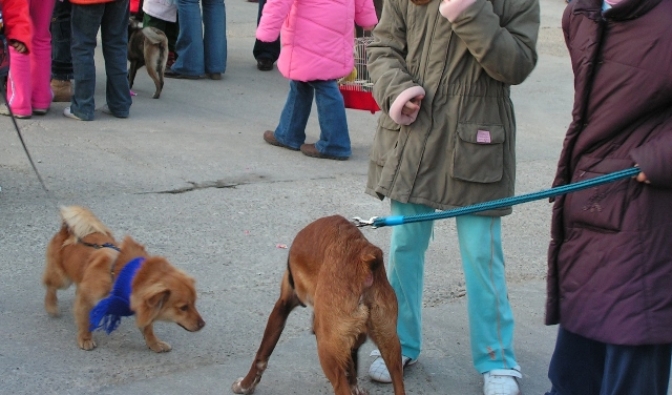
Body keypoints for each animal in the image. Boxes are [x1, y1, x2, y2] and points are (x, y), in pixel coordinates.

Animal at [42, 207, 205, 352]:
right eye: (183, 307)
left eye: (194, 304)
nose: (203, 324)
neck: (127, 276)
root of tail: (65, 231)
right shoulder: (87, 298)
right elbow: (84, 320)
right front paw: (85, 338)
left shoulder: (141, 305)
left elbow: (147, 327)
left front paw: (154, 343)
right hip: (62, 279)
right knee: (50, 286)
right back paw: (51, 305)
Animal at [231, 217, 404, 395]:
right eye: (355, 346)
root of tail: (363, 259)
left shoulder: (283, 304)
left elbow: (262, 354)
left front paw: (245, 385)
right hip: (391, 348)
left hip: (327, 352)